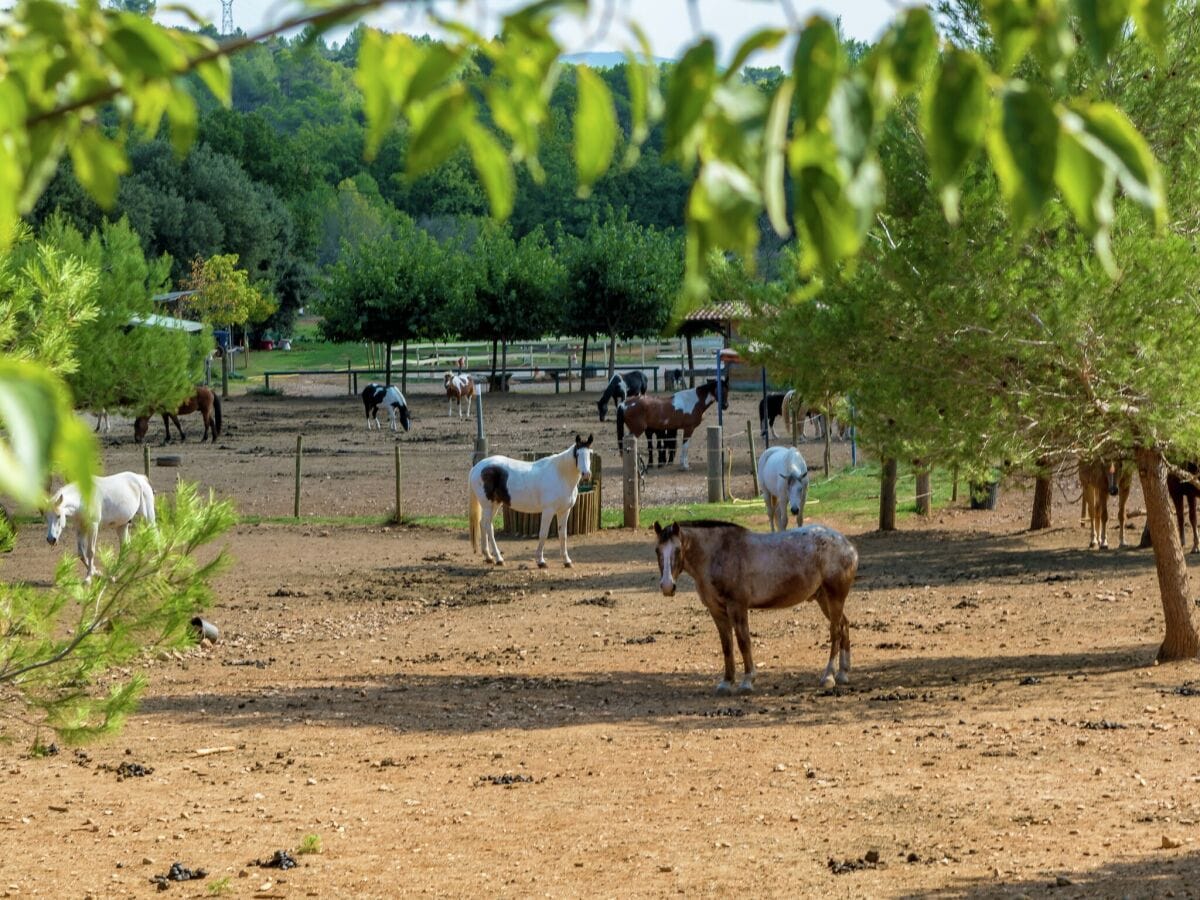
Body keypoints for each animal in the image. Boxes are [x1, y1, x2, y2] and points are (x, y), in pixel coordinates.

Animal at [470, 434, 597, 566]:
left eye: (590, 453)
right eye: (577, 454)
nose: (586, 474)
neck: (560, 474)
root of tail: (477, 468)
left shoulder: (564, 511)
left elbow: (563, 535)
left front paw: (567, 561)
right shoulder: (548, 511)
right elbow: (543, 534)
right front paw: (541, 561)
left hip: (495, 504)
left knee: (483, 524)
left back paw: (488, 556)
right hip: (488, 506)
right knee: (488, 527)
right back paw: (499, 558)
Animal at [652, 518, 859, 696]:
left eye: (678, 550)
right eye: (657, 550)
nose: (667, 586)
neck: (719, 553)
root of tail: (847, 546)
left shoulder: (737, 607)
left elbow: (743, 642)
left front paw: (747, 682)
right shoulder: (717, 612)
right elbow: (727, 646)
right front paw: (726, 683)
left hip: (834, 598)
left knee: (835, 632)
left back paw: (829, 676)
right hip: (824, 600)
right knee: (844, 625)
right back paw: (843, 673)